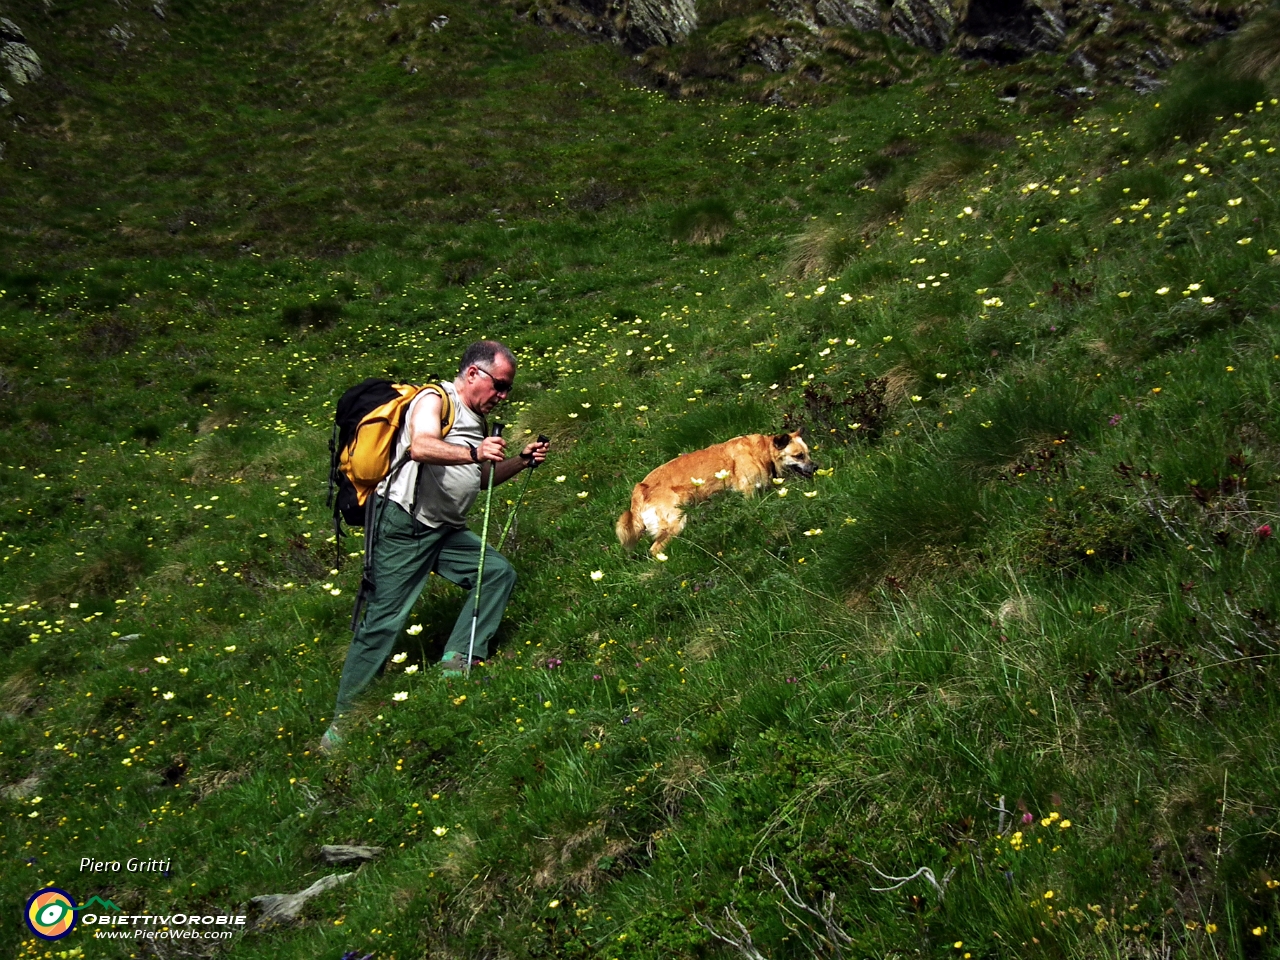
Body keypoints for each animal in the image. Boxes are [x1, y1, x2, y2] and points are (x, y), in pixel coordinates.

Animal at [614, 427, 814, 555]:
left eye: (808, 454)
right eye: (799, 456)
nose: (816, 467)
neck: (761, 452)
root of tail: (641, 488)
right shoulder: (748, 492)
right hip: (676, 523)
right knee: (655, 550)